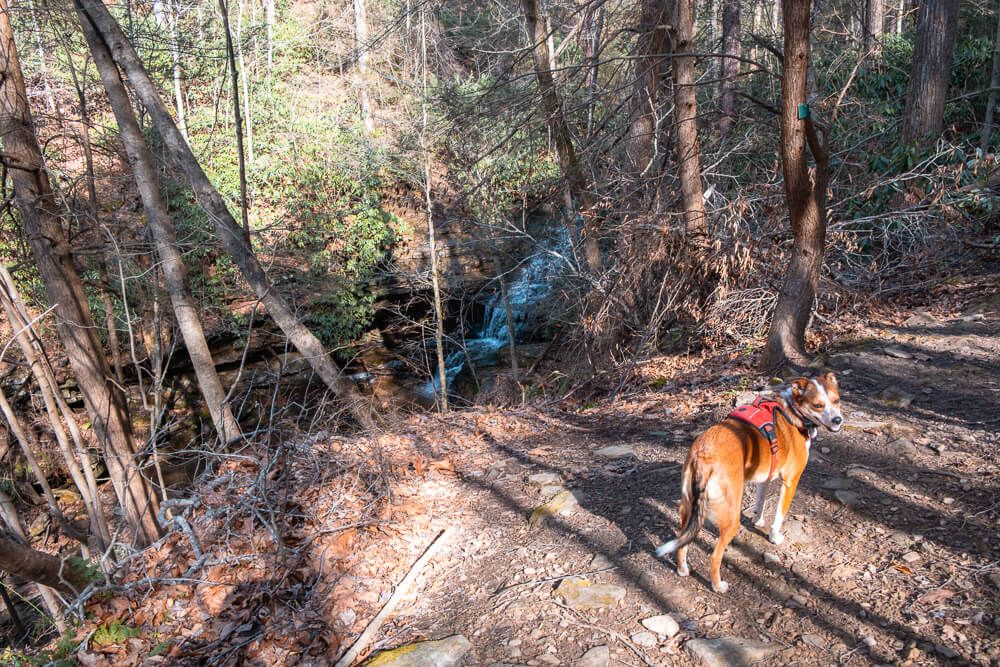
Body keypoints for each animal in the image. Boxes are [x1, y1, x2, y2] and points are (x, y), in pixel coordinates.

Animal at [656, 370, 844, 596]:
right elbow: (779, 516)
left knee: (682, 541)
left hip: (687, 510)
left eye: (837, 400)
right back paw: (718, 585)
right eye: (818, 405)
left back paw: (683, 570)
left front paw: (757, 520)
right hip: (731, 518)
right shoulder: (791, 482)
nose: (838, 420)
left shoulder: (765, 476)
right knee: (714, 556)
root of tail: (704, 456)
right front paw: (774, 537)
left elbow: (760, 502)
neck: (792, 411)